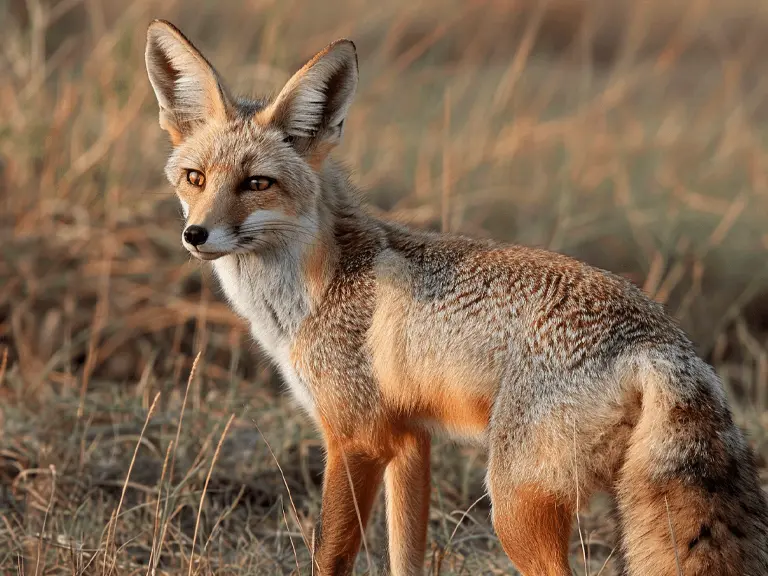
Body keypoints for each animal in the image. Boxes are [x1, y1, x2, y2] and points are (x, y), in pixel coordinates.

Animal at [145, 19, 768, 576]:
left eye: (257, 184)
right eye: (196, 178)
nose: (196, 235)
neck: (318, 285)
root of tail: (665, 345)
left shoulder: (355, 439)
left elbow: (330, 556)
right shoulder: (408, 440)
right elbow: (405, 559)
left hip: (513, 507)